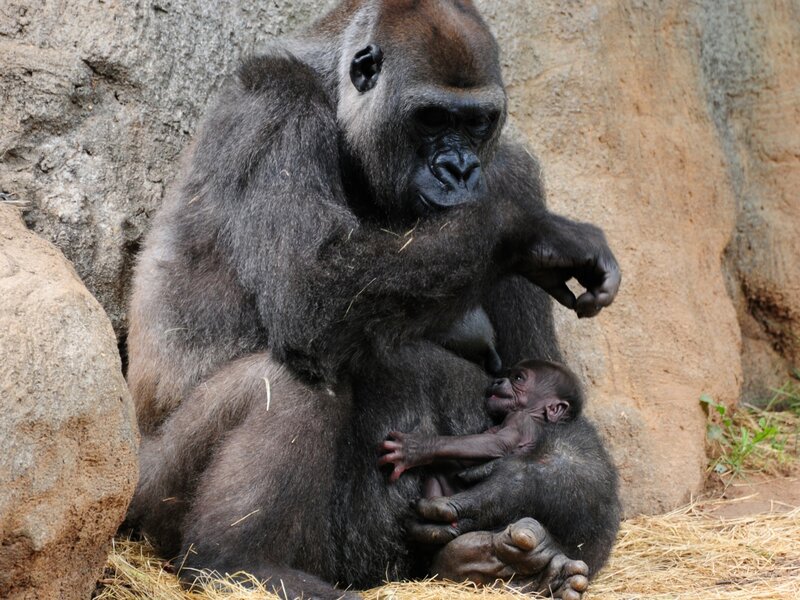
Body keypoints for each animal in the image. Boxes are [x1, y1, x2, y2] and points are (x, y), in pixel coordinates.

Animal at [124, 2, 622, 599]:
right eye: (431, 119)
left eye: (476, 122)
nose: (460, 170)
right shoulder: (271, 104)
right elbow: (309, 290)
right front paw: (526, 232)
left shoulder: (510, 169)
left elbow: (550, 389)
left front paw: (521, 482)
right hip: (146, 488)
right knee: (292, 380)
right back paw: (235, 562)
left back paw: (492, 562)